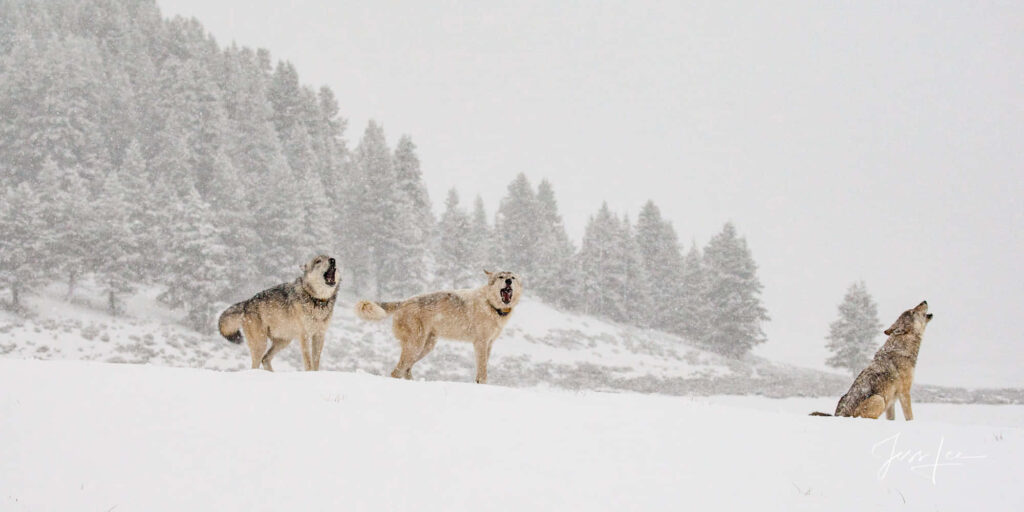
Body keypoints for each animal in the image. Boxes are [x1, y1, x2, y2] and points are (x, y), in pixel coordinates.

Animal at [354, 270, 522, 384]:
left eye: (512, 277)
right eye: (501, 277)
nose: (508, 281)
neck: (490, 305)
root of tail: (404, 301)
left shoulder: (489, 344)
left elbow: (484, 366)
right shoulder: (480, 343)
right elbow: (482, 370)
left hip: (427, 347)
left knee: (405, 370)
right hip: (416, 345)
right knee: (397, 371)